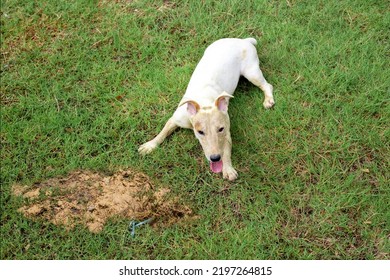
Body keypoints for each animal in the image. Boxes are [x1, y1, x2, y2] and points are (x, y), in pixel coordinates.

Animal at [139, 37, 274, 180]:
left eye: (221, 129)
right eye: (200, 132)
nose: (215, 158)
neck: (204, 103)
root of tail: (243, 40)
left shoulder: (226, 132)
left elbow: (226, 151)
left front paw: (228, 169)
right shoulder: (176, 119)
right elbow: (163, 132)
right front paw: (150, 145)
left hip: (251, 72)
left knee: (267, 85)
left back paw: (268, 100)